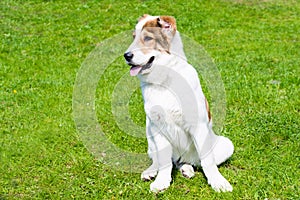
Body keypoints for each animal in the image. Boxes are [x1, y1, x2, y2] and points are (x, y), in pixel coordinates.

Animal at [123, 14, 234, 192]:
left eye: (147, 38)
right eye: (134, 38)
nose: (126, 56)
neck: (165, 80)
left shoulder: (198, 125)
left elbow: (208, 162)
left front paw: (218, 182)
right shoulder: (158, 127)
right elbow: (164, 161)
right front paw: (161, 182)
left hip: (225, 144)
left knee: (192, 162)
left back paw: (187, 169)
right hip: (149, 132)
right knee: (161, 160)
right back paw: (151, 171)